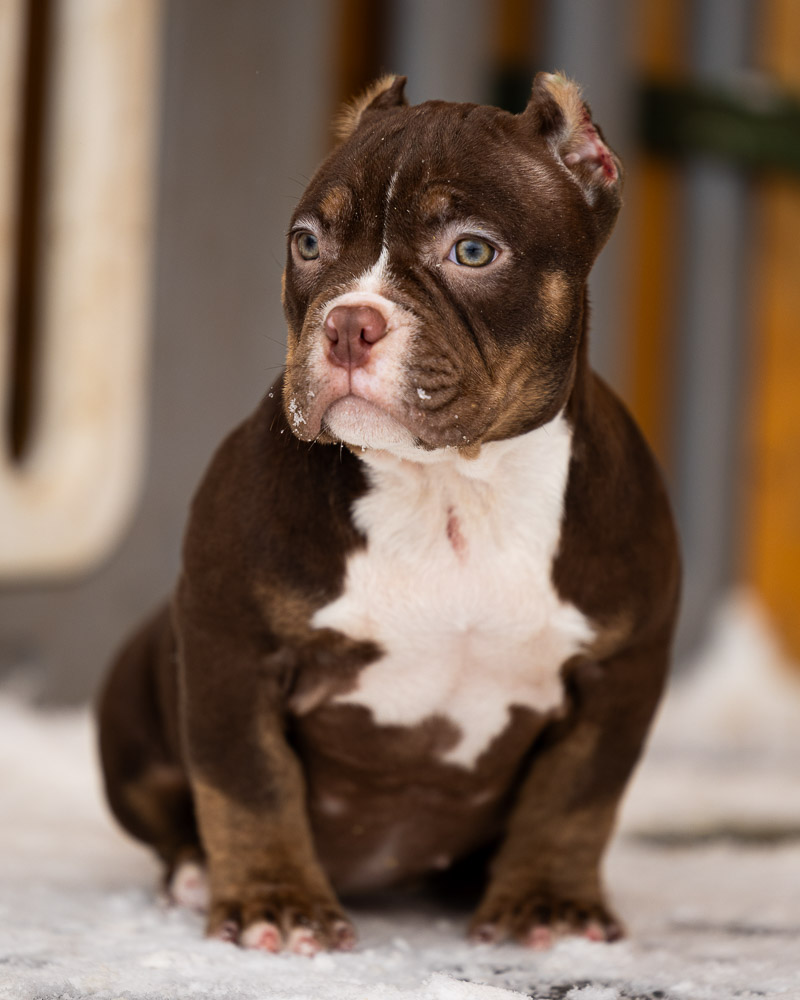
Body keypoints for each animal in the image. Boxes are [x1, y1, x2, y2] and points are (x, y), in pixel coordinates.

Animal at [98, 72, 680, 956]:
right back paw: (195, 870)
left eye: (473, 251)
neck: (451, 488)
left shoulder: (622, 670)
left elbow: (576, 801)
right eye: (307, 244)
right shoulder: (233, 644)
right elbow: (248, 783)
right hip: (132, 699)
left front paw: (548, 901)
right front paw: (275, 901)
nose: (349, 321)